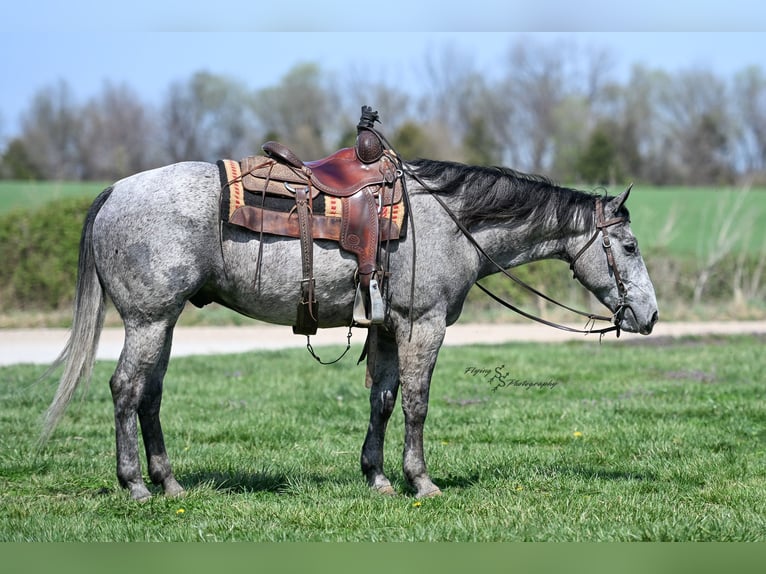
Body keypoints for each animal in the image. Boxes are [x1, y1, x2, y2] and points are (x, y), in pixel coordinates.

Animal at [41, 157, 658, 500]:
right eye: (628, 246)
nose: (649, 315)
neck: (450, 222)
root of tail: (116, 191)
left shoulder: (386, 328)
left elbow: (382, 401)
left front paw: (377, 477)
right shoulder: (424, 324)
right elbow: (416, 403)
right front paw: (421, 481)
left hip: (163, 322)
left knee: (149, 395)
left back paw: (169, 483)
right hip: (147, 320)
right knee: (126, 389)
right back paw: (134, 485)